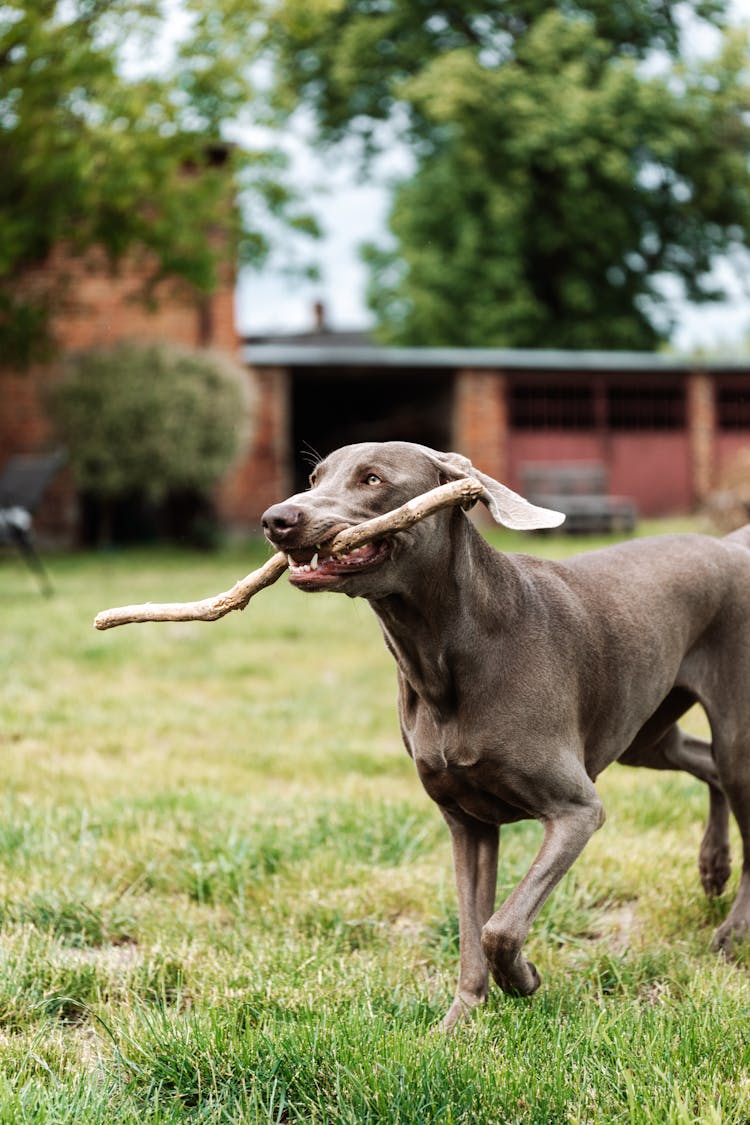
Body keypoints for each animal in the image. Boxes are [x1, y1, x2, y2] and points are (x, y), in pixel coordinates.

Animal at [263, 438, 746, 1030]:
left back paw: (731, 933)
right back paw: (712, 866)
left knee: (731, 780)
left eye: (373, 479)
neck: (444, 654)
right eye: (314, 477)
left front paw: (523, 979)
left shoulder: (576, 811)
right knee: (704, 763)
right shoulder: (466, 823)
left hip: (733, 733)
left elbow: (500, 927)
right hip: (643, 732)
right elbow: (472, 931)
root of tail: (730, 545)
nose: (276, 519)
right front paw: (459, 1023)